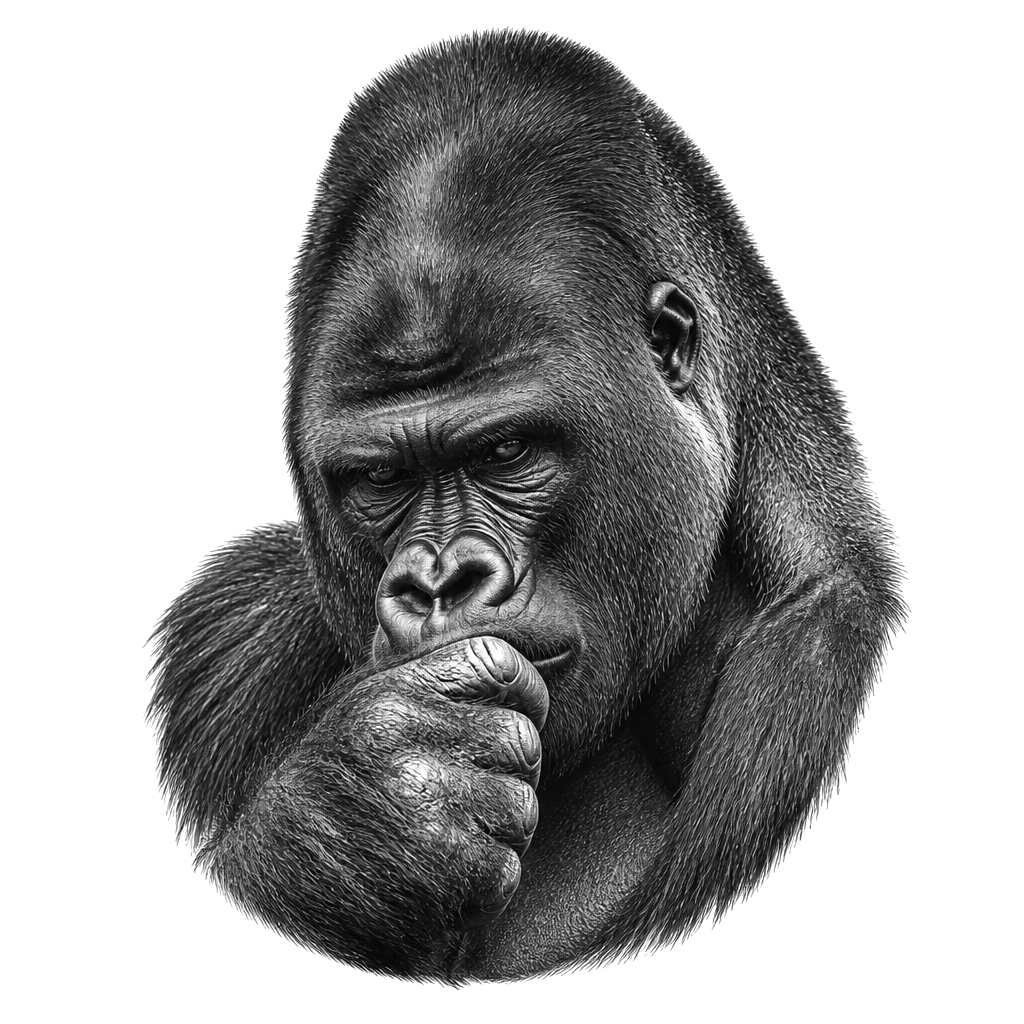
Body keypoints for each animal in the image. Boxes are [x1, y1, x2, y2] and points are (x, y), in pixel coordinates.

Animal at [149, 30, 904, 981]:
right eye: (380, 479)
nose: (441, 582)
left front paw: (370, 810)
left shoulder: (815, 664)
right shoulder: (221, 618)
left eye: (505, 452)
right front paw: (357, 818)